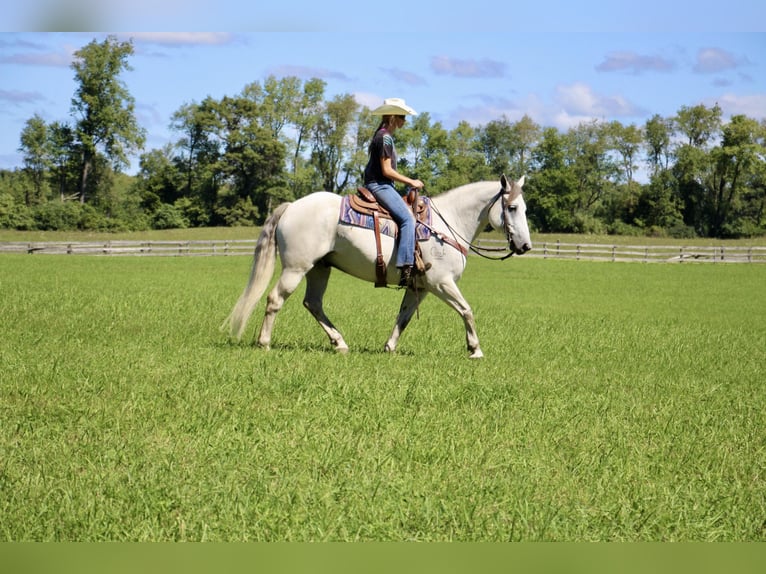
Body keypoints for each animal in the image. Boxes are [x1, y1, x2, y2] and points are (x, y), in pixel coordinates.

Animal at [224, 174, 536, 360]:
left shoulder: (421, 287)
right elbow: (467, 310)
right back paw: (264, 342)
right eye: (511, 208)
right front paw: (475, 349)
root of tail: (291, 206)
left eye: (524, 208)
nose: (525, 246)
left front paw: (389, 347)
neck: (447, 224)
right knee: (275, 299)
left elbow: (404, 317)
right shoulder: (441, 283)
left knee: (313, 303)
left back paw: (340, 343)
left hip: (319, 268)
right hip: (295, 268)